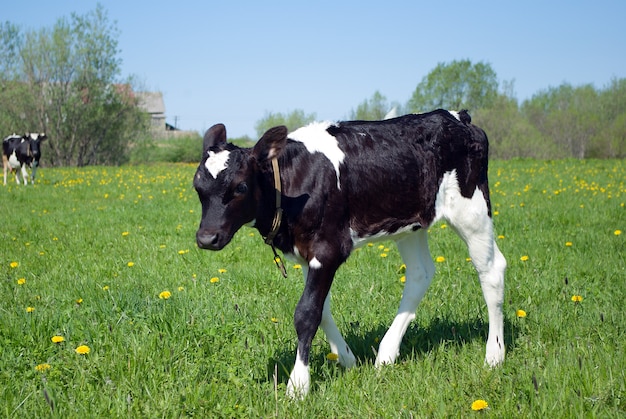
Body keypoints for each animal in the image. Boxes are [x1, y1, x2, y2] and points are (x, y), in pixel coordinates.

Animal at [193, 110, 504, 398]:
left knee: (492, 271)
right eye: (198, 187)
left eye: (241, 187)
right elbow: (322, 310)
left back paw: (494, 355)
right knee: (421, 273)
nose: (206, 238)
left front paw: (298, 385)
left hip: (472, 210)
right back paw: (386, 354)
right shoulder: (307, 253)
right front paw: (346, 359)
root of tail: (455, 116)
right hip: (411, 224)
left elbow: (307, 313)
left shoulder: (328, 249)